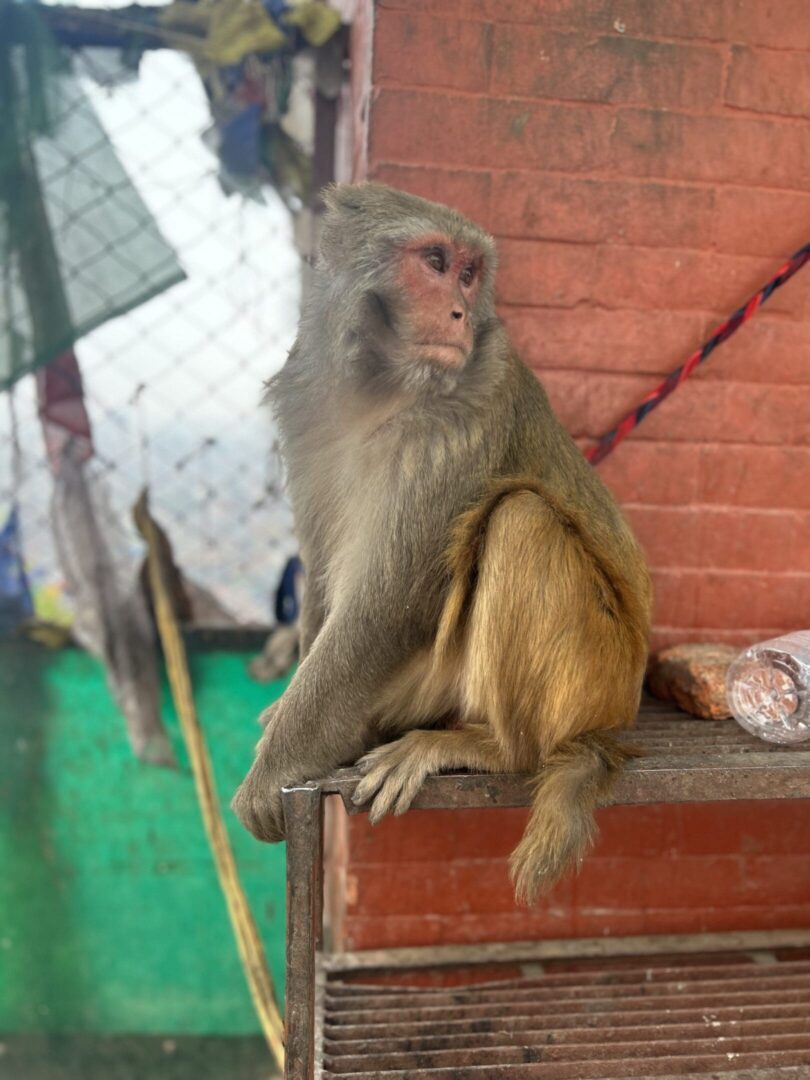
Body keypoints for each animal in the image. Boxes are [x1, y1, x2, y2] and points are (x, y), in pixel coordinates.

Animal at [230, 183, 652, 902]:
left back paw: (492, 749)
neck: (381, 390)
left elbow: (382, 606)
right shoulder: (308, 405)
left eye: (469, 272)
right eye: (434, 261)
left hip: (597, 671)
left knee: (521, 521)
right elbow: (320, 577)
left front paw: (270, 772)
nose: (458, 312)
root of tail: (619, 708)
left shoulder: (463, 417)